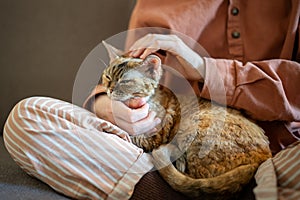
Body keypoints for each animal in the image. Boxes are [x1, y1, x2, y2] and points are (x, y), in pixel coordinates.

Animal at [100, 41, 272, 200]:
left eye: (125, 81)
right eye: (107, 76)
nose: (110, 89)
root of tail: (262, 159)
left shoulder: (153, 137)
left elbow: (133, 135)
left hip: (193, 127)